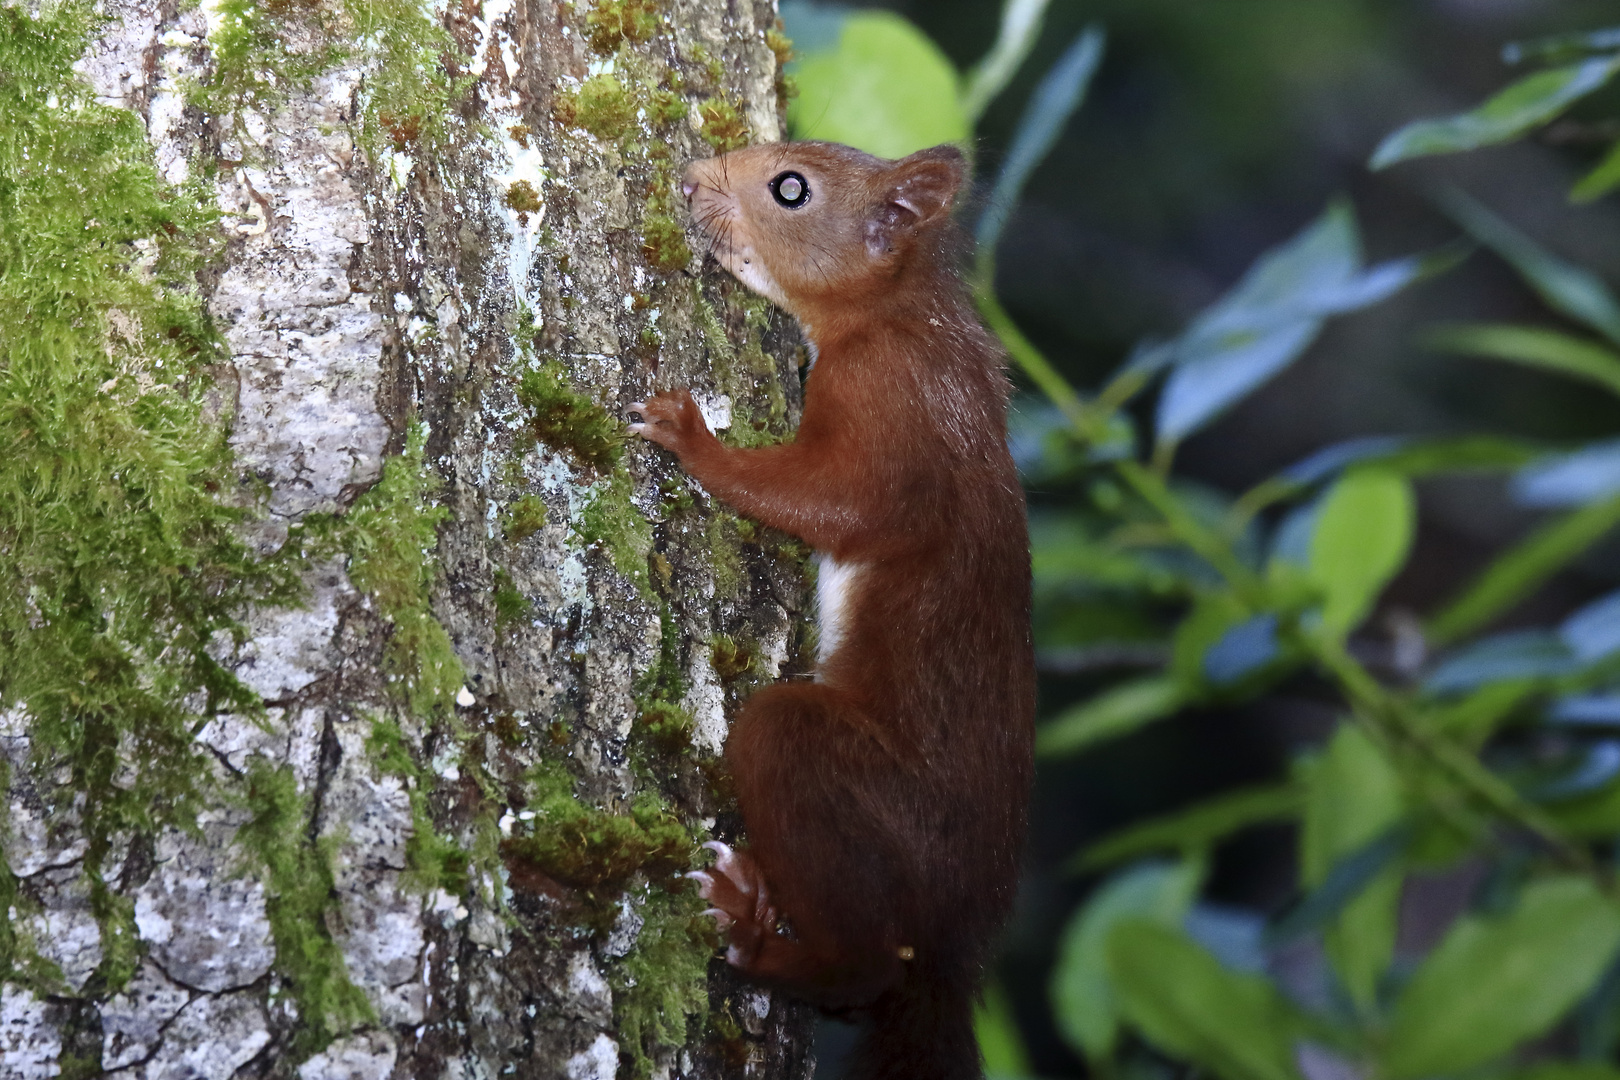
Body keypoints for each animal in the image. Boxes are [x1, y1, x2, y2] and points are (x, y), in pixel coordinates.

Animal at [625, 143, 1030, 1080]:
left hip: (851, 784)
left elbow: (831, 501)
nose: (693, 176)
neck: (904, 315)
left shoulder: (888, 410)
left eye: (791, 189)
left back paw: (756, 939)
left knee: (865, 966)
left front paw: (690, 439)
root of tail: (950, 947)